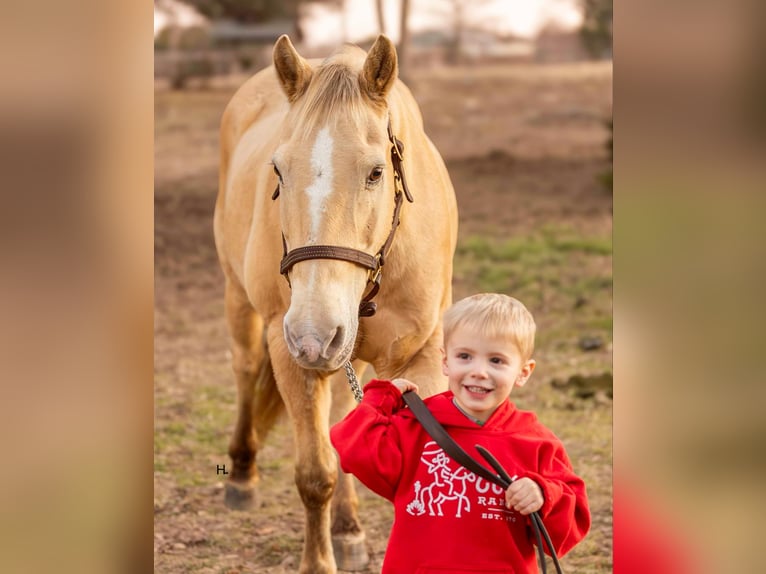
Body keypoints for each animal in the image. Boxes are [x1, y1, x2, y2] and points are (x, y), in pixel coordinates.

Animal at [213, 33, 460, 572]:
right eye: (278, 170)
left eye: (375, 172)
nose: (314, 332)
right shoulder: (290, 353)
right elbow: (314, 474)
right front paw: (318, 561)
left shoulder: (419, 353)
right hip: (240, 301)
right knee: (244, 370)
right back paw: (241, 475)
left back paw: (347, 529)